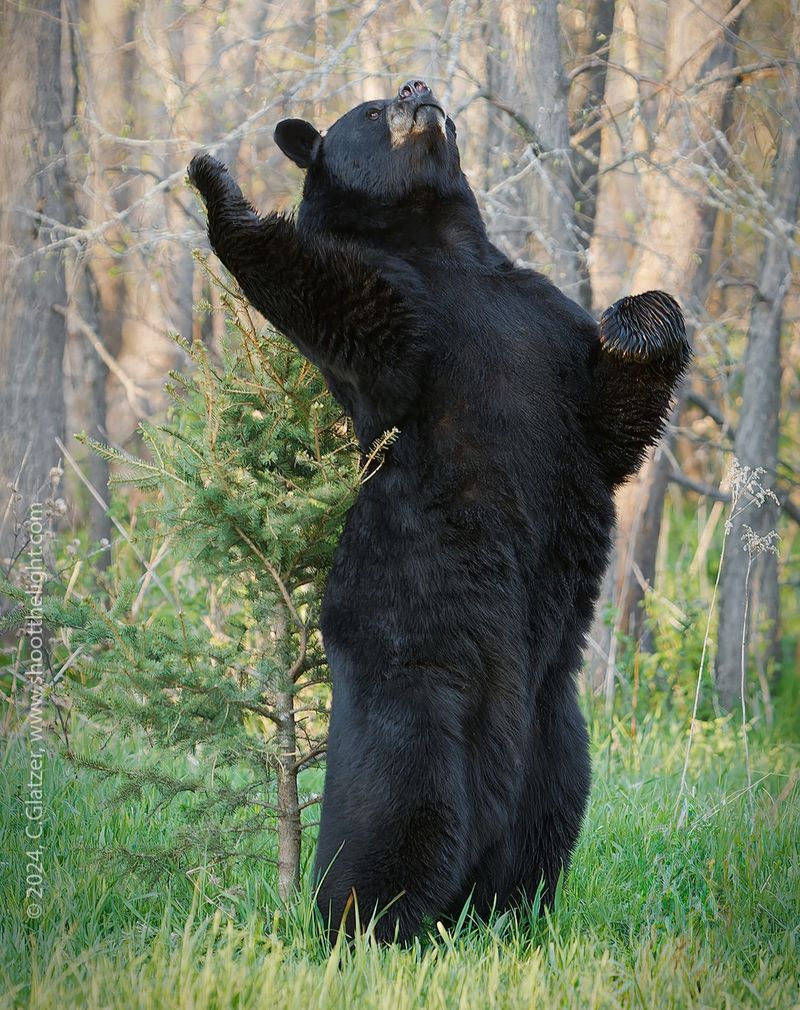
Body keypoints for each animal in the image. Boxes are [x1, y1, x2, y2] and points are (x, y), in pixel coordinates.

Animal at [187, 74, 686, 941]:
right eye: (369, 109)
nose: (418, 86)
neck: (440, 243)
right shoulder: (404, 329)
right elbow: (344, 307)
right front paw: (217, 182)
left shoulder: (543, 318)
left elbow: (609, 422)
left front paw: (639, 320)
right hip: (418, 685)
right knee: (393, 814)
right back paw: (363, 923)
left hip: (557, 723)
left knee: (546, 820)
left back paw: (509, 918)